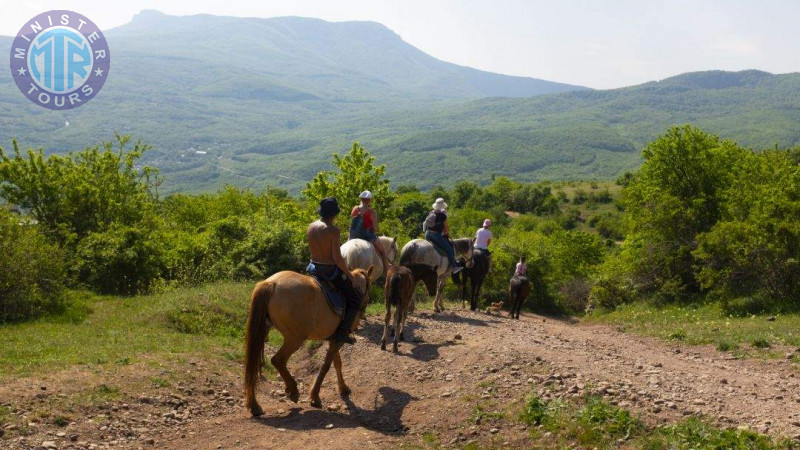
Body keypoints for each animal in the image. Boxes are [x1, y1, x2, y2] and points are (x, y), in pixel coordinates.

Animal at [242, 266, 374, 416]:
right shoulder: (338, 340)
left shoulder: (334, 338)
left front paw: (343, 388)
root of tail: (271, 283)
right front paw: (315, 397)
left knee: (253, 363)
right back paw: (292, 389)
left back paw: (254, 405)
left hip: (263, 332)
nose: (363, 313)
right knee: (278, 360)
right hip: (295, 339)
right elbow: (326, 365)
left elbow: (337, 363)